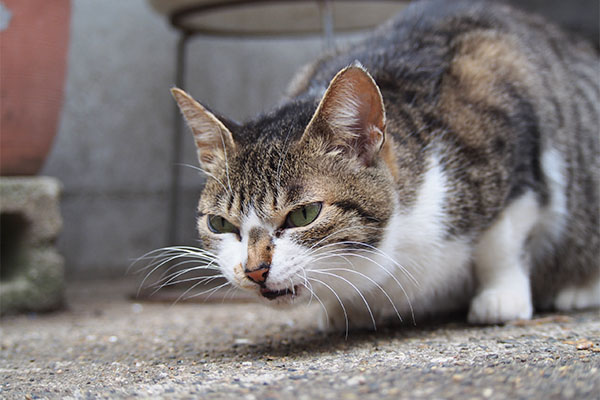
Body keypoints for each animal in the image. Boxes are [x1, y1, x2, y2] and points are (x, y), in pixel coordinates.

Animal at [165, 0, 600, 332]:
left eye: (304, 214)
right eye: (220, 223)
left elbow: (503, 241)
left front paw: (500, 297)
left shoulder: (512, 120)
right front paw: (344, 310)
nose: (254, 271)